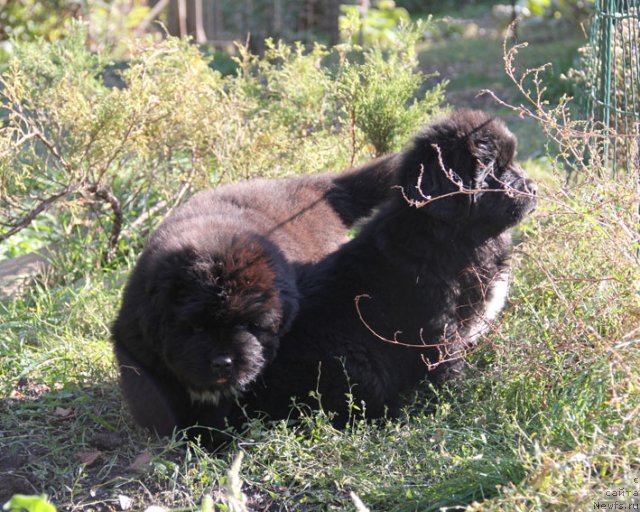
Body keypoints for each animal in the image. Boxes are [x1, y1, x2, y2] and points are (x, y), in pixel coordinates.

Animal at [112, 154, 398, 438]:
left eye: (251, 325)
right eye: (195, 327)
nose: (223, 362)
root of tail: (315, 187)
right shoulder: (138, 347)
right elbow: (154, 395)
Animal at [248, 110, 536, 422]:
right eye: (492, 169)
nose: (534, 188)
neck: (451, 236)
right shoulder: (437, 324)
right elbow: (448, 365)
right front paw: (457, 402)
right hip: (356, 361)